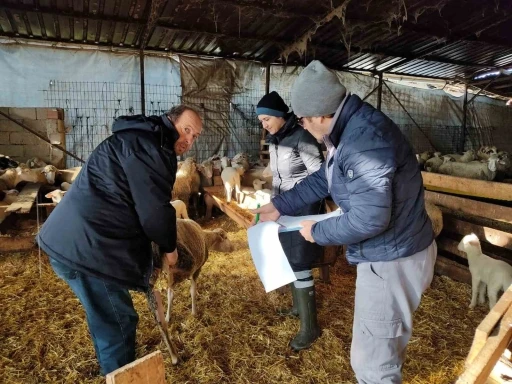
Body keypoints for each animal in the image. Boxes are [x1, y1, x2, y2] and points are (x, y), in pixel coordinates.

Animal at [150, 218, 234, 364]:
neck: (206, 238)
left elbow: (170, 296)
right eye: (226, 237)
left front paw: (168, 316)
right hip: (180, 262)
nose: (233, 247)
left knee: (159, 318)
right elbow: (192, 291)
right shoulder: (195, 270)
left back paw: (173, 354)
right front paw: (194, 313)